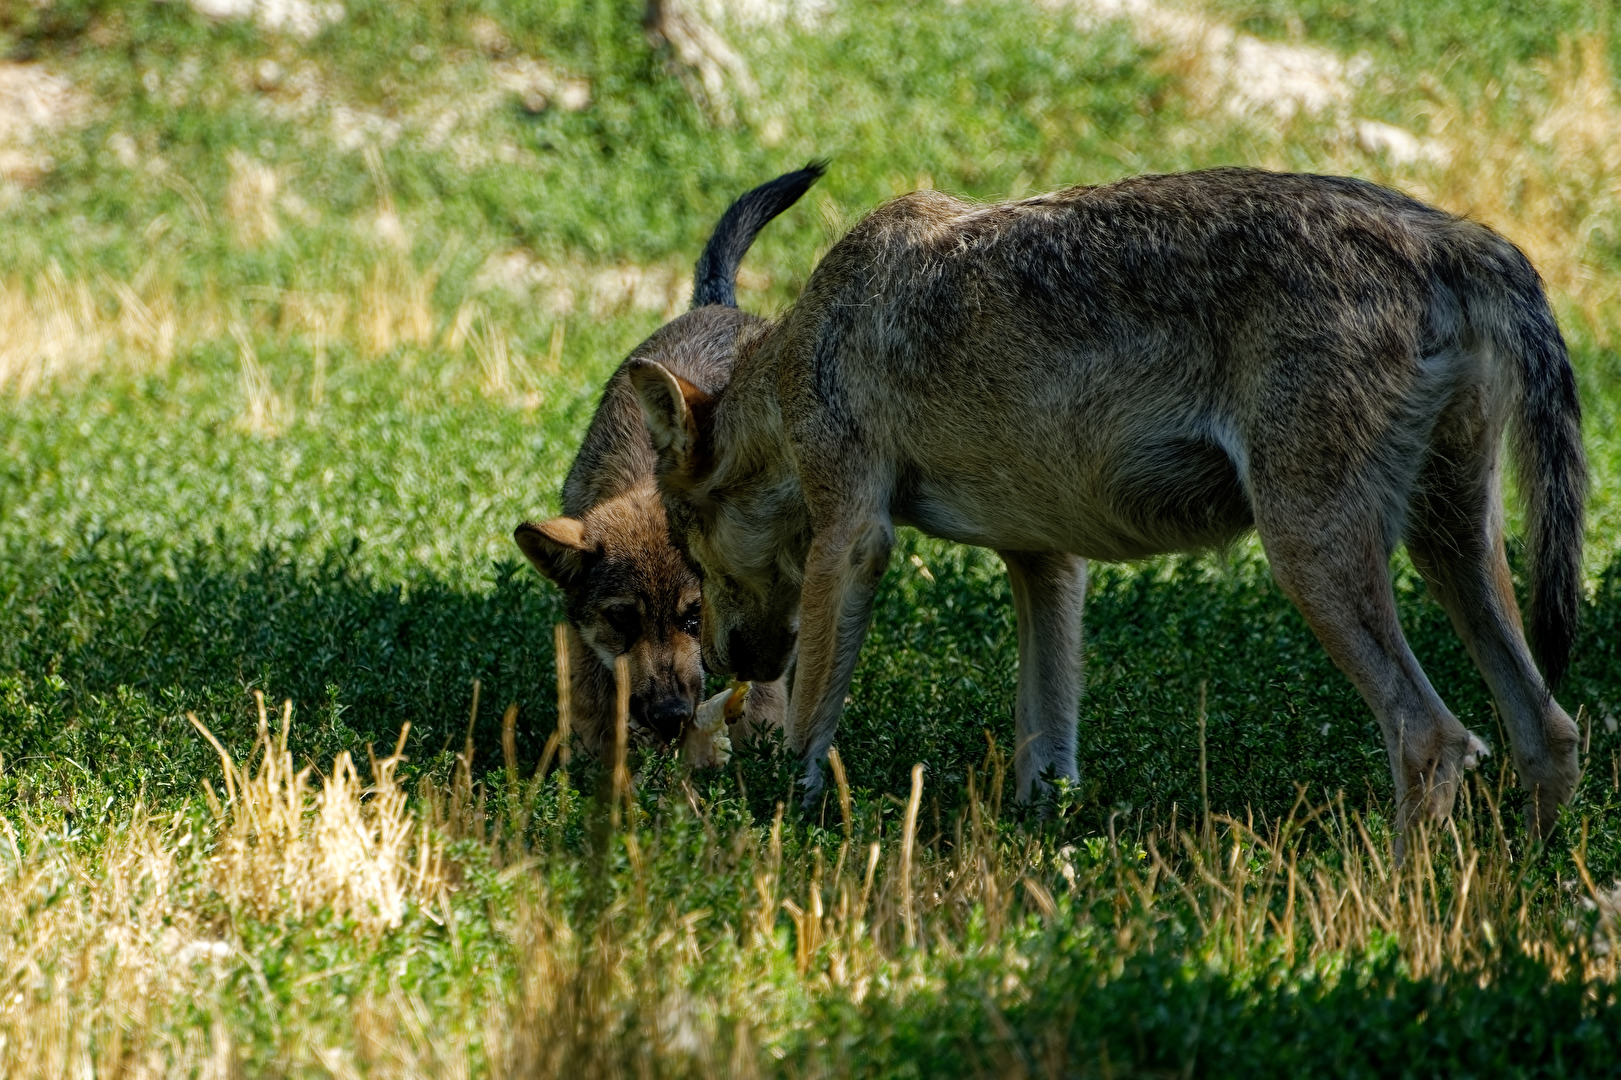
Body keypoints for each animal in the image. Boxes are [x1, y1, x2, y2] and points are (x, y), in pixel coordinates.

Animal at [518, 163, 823, 755]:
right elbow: (594, 695)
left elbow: (763, 687)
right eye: (622, 620)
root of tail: (718, 304)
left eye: (693, 617)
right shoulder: (587, 636)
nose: (670, 716)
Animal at [628, 168, 1582, 836]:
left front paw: (776, 833)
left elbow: (808, 733)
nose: (718, 660)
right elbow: (1047, 750)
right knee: (1549, 732)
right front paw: (1039, 849)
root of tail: (1459, 239)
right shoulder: (1046, 561)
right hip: (1449, 546)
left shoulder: (853, 539)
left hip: (1312, 553)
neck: (806, 348)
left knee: (1432, 739)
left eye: (687, 545)